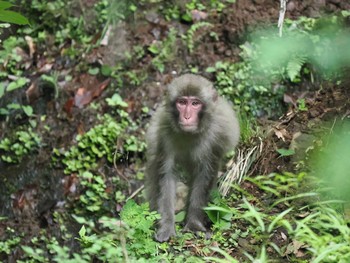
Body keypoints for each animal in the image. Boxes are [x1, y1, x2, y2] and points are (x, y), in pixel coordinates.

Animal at [144, 73, 239, 242]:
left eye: (195, 103)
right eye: (182, 102)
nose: (187, 116)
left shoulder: (216, 135)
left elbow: (204, 177)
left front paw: (194, 224)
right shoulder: (164, 134)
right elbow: (166, 176)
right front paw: (167, 226)